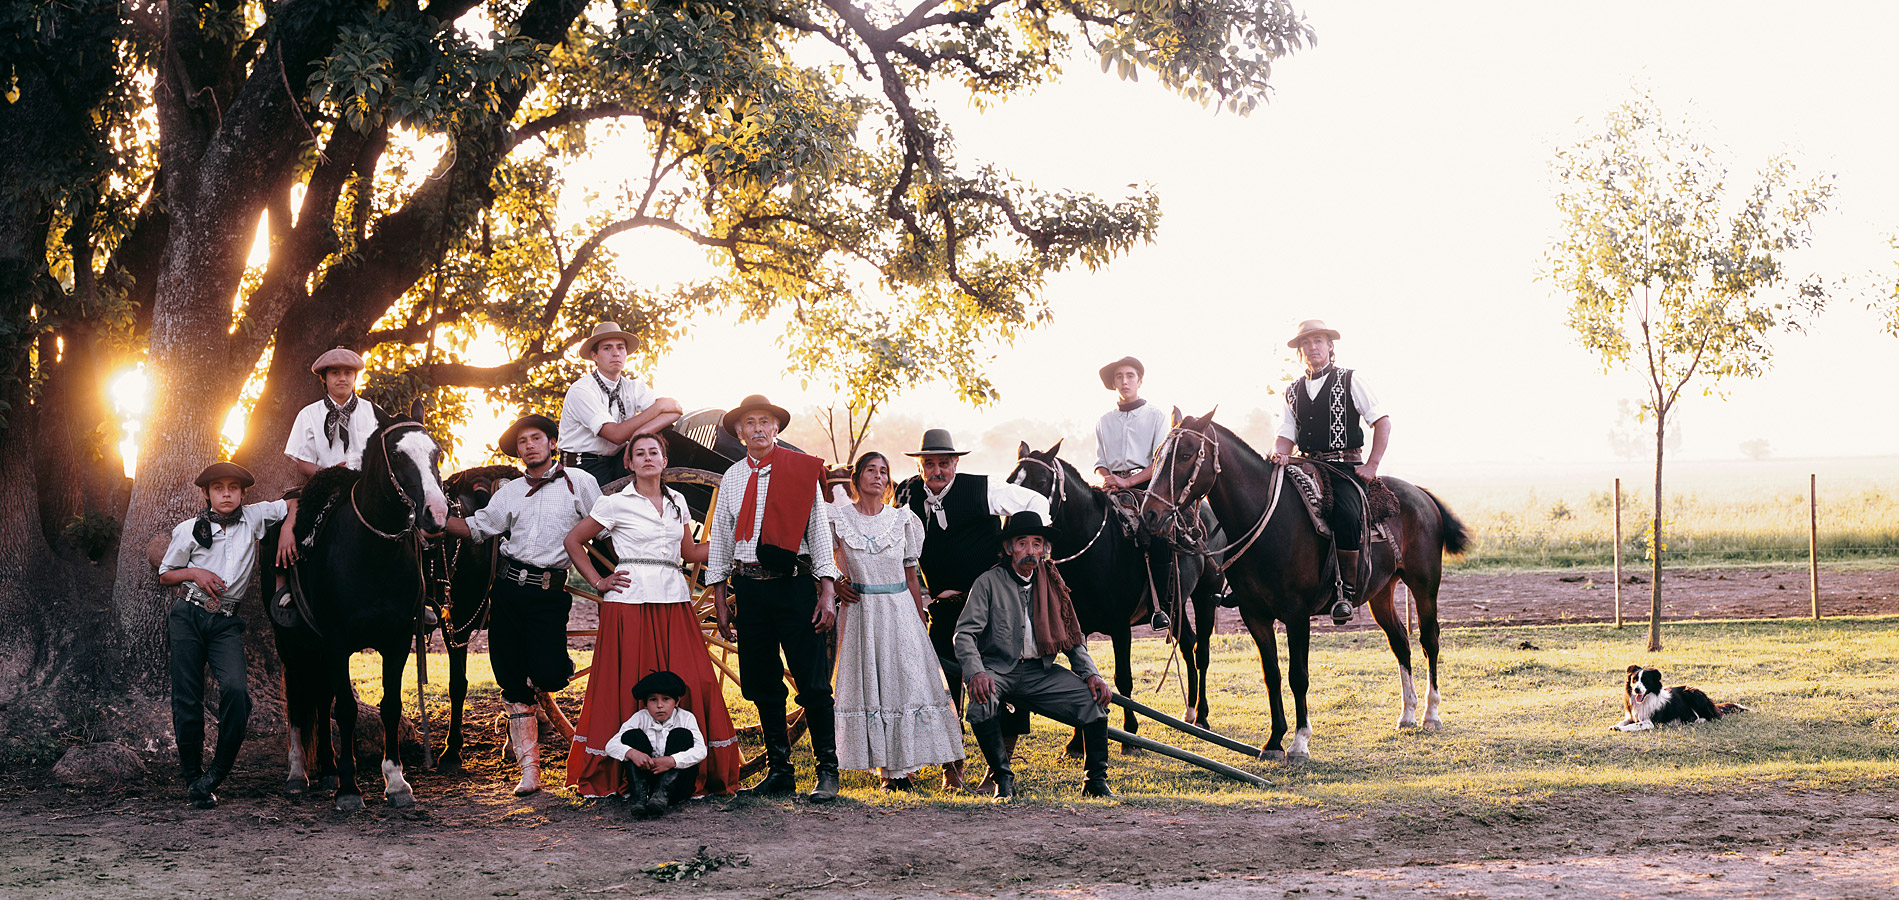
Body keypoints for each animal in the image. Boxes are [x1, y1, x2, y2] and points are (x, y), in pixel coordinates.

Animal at [269, 408, 450, 808]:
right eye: (397, 455)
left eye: (437, 452)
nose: (435, 515)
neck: (373, 553)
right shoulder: (338, 642)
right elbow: (347, 710)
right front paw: (350, 789)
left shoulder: (397, 640)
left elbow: (390, 706)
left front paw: (396, 782)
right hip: (291, 643)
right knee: (298, 700)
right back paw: (298, 773)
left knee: (321, 698)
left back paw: (328, 769)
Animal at [1010, 438, 1230, 748]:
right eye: (1010, 481)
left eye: (1041, 482)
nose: (1014, 526)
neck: (1092, 547)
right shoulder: (1078, 627)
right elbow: (1082, 678)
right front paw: (1076, 743)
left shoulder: (1120, 626)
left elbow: (1123, 677)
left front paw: (1130, 734)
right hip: (1175, 604)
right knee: (1188, 643)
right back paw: (1189, 712)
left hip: (1205, 596)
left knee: (1202, 652)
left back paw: (1202, 716)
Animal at [1139, 413, 1466, 759]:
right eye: (1158, 455)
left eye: (1187, 454)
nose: (1150, 513)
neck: (1267, 521)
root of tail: (1419, 493)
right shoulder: (1255, 615)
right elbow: (1272, 675)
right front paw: (1273, 742)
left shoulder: (1297, 615)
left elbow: (1298, 676)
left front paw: (1299, 742)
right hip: (1381, 593)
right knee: (1400, 641)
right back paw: (1407, 714)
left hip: (1424, 585)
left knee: (1429, 640)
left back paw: (1431, 713)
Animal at [1617, 660, 1747, 732]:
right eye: (1634, 680)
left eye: (1645, 681)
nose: (1636, 689)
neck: (1646, 699)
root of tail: (1712, 703)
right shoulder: (1632, 715)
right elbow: (1624, 721)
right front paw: (1616, 726)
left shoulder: (1651, 722)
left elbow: (1637, 724)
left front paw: (1621, 729)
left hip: (1692, 694)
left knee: (1711, 716)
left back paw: (1698, 720)